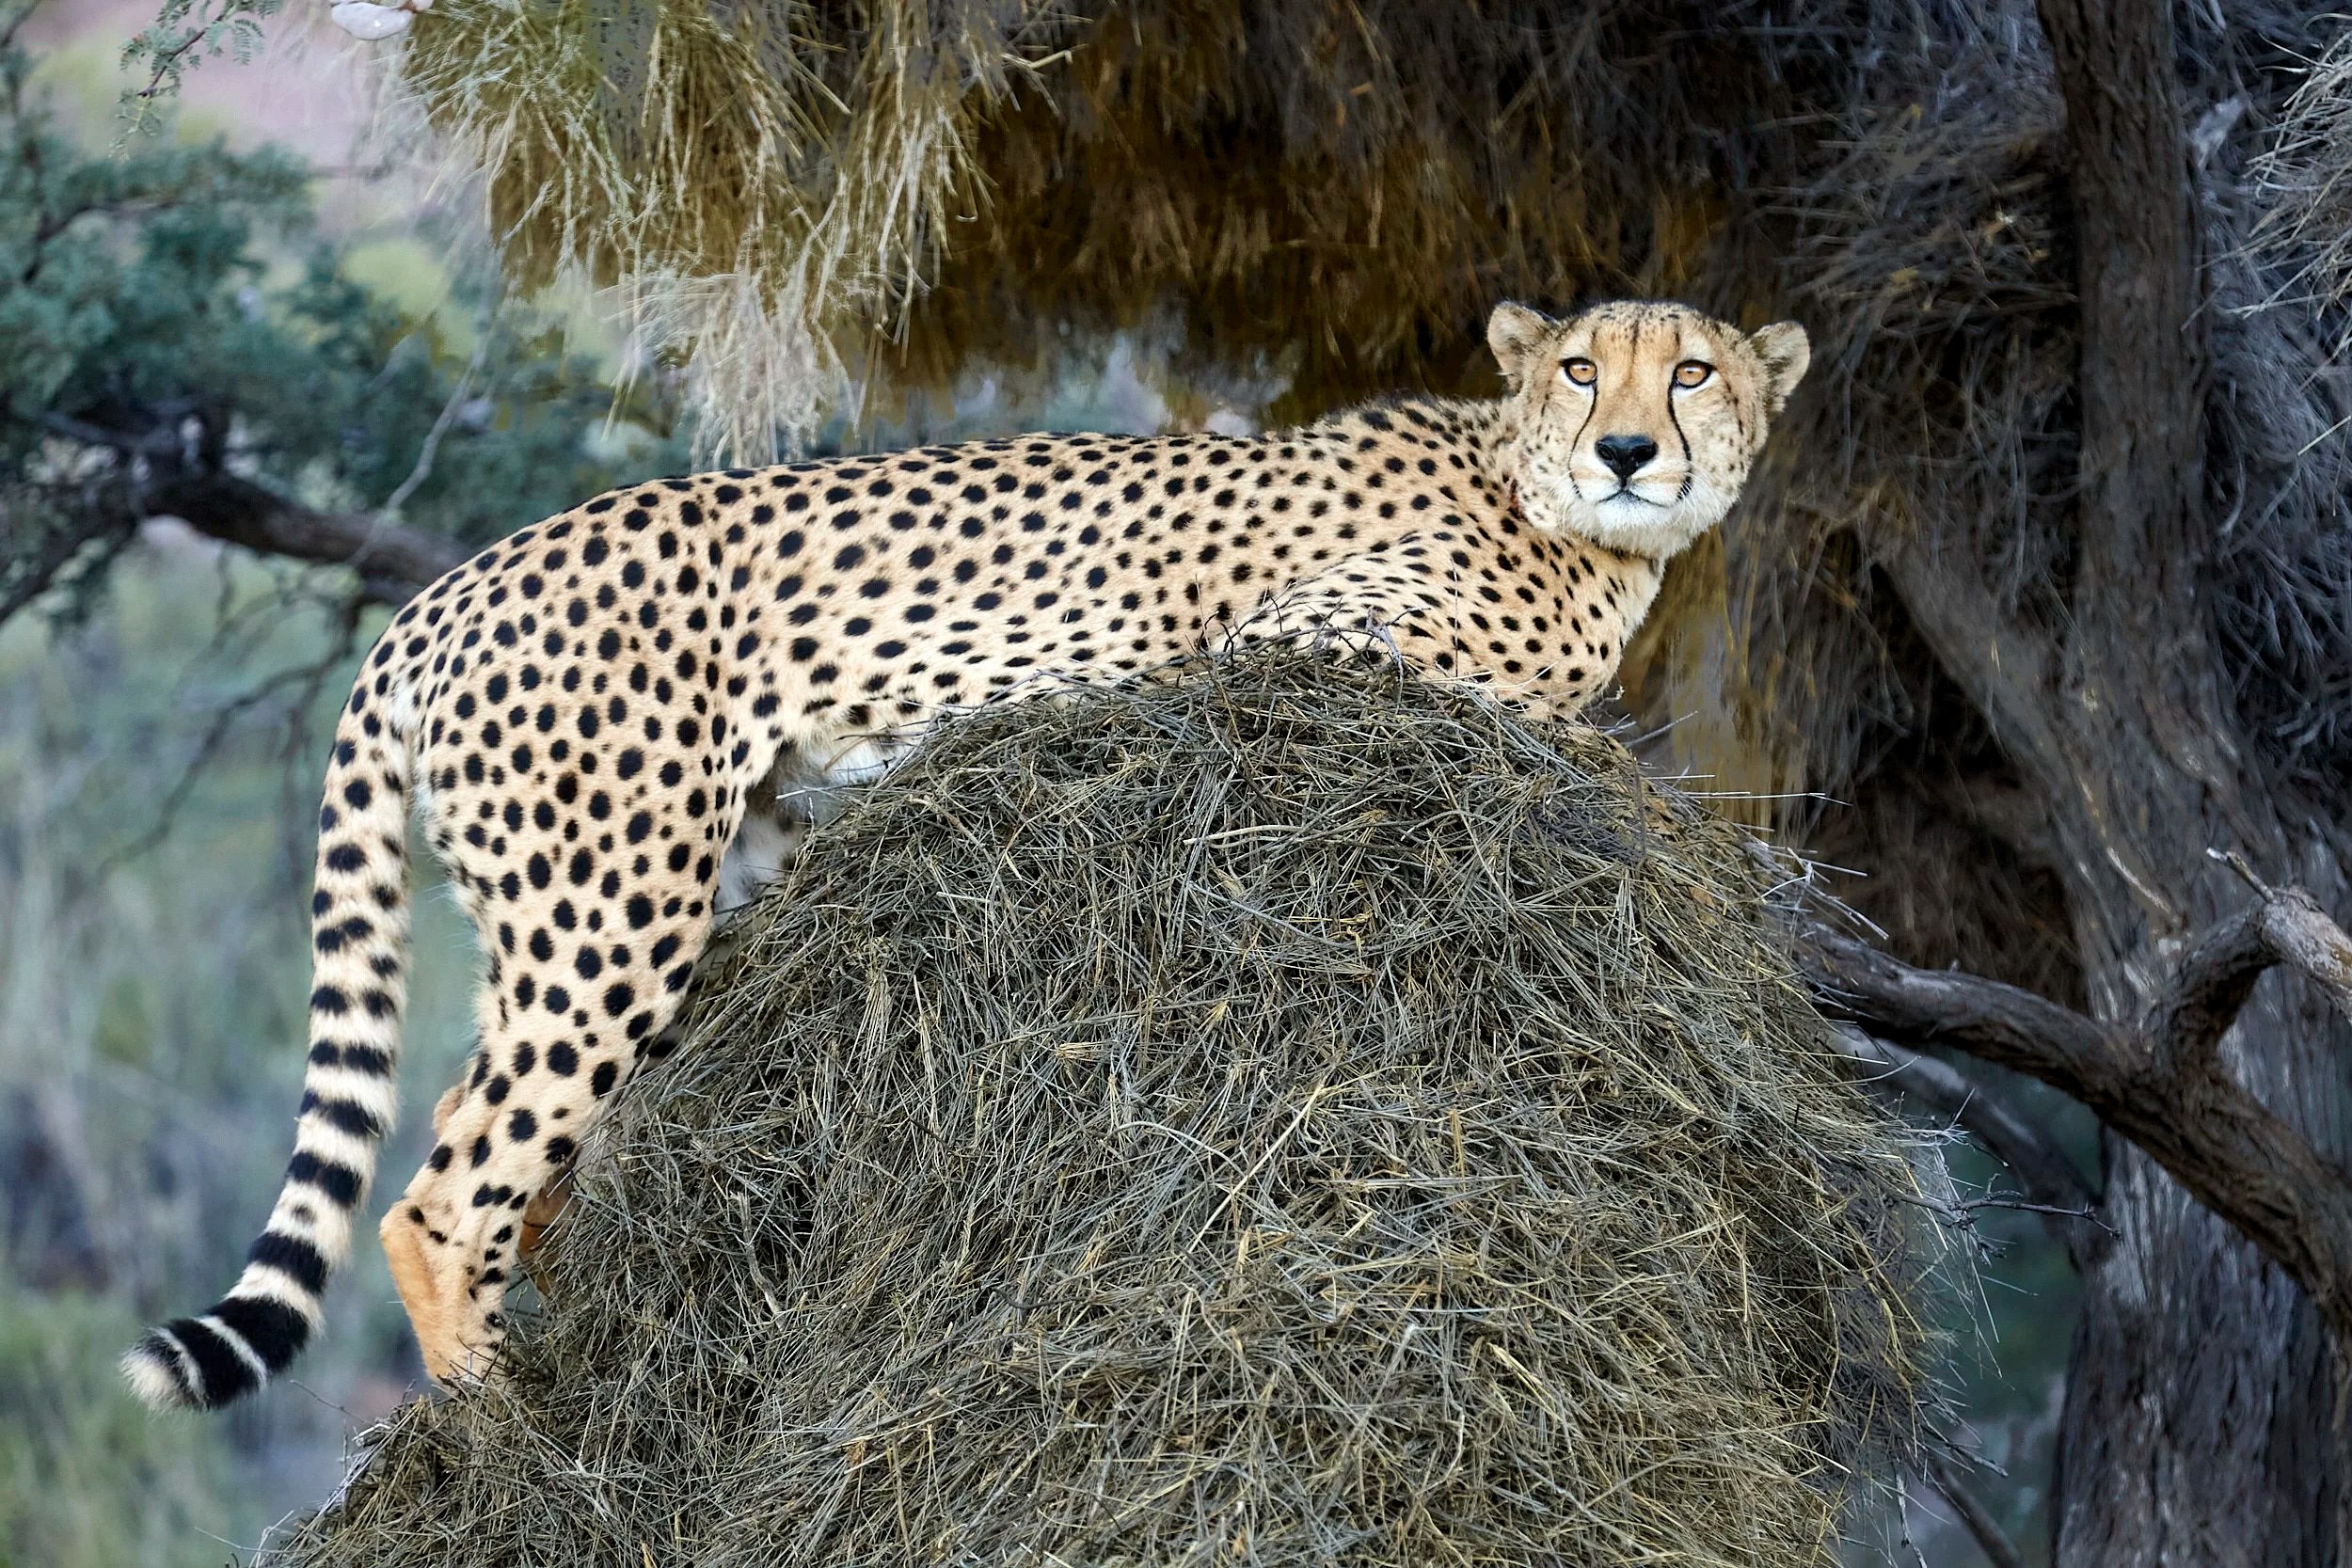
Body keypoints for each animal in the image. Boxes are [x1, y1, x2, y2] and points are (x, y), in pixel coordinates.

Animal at [122, 298, 1809, 1409]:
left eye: (1695, 368)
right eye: (1588, 366)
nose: (1631, 446)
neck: (1556, 509)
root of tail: (454, 582)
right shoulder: (1294, 644)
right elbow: (1519, 719)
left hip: (620, 893)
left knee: (489, 1130)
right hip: (616, 905)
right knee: (441, 1184)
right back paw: (486, 1409)